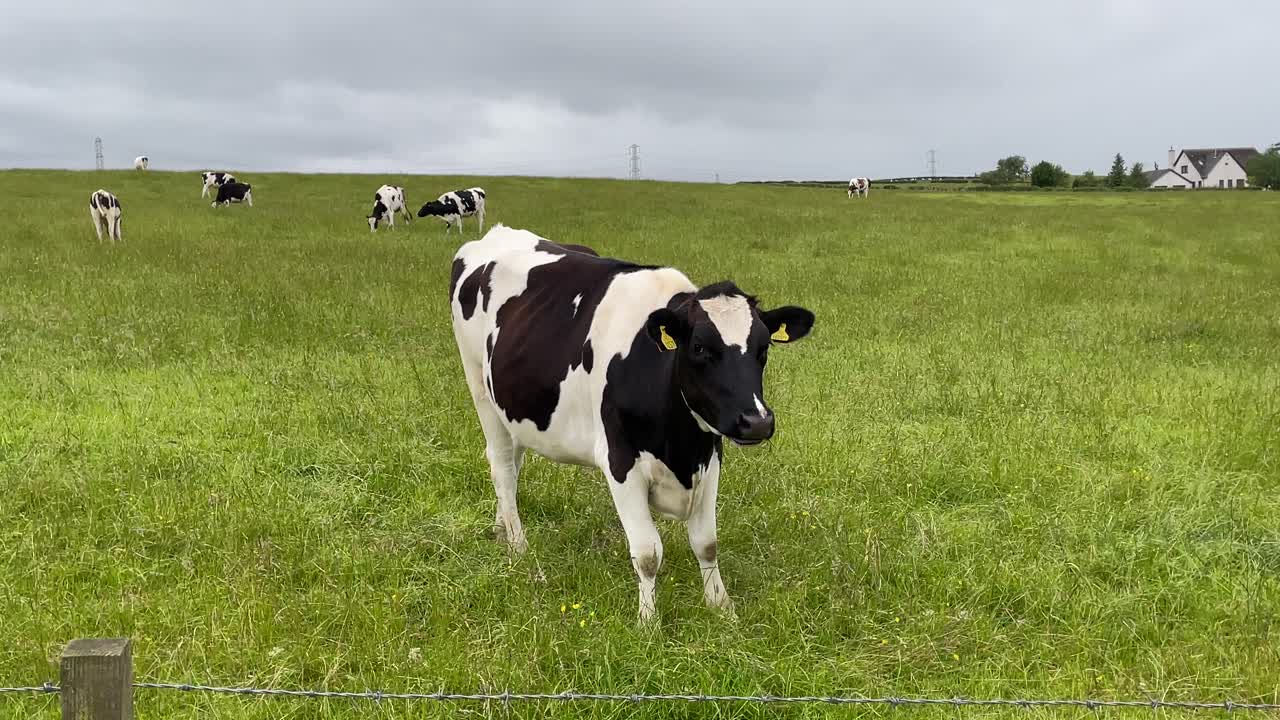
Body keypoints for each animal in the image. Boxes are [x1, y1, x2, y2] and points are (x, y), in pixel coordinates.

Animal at [449, 225, 815, 622]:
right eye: (700, 348)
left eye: (764, 349)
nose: (757, 422)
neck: (681, 446)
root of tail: (495, 233)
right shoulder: (620, 462)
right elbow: (648, 553)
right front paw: (648, 621)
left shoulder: (710, 454)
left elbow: (707, 543)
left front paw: (722, 607)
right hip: (479, 388)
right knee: (501, 465)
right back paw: (519, 547)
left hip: (513, 407)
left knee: (512, 466)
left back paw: (502, 527)